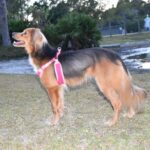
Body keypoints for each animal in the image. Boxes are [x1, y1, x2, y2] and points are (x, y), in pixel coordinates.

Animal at [12, 27, 147, 126]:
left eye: (24, 33)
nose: (12, 33)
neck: (44, 55)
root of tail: (114, 54)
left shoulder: (52, 89)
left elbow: (54, 107)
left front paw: (54, 123)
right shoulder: (59, 89)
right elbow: (60, 106)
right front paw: (59, 118)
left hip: (107, 85)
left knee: (119, 103)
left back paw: (112, 122)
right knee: (128, 96)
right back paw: (130, 114)